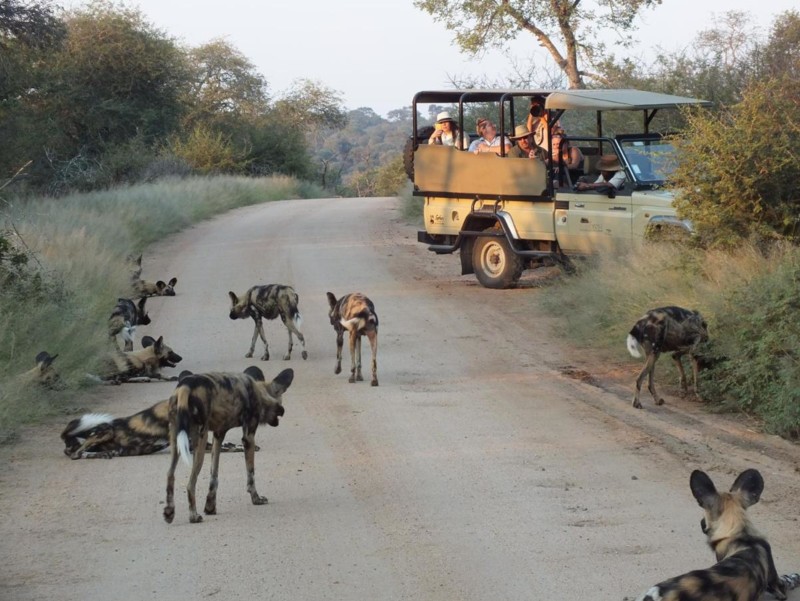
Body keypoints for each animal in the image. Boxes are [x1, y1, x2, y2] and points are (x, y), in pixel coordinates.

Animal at [161, 364, 292, 524]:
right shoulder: (248, 438)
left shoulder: (218, 436)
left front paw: (210, 506)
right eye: (280, 402)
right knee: (191, 483)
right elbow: (251, 474)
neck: (258, 391)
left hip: (177, 442)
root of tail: (185, 386)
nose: (282, 412)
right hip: (200, 440)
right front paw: (256, 499)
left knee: (170, 475)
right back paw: (193, 516)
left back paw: (169, 512)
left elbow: (214, 476)